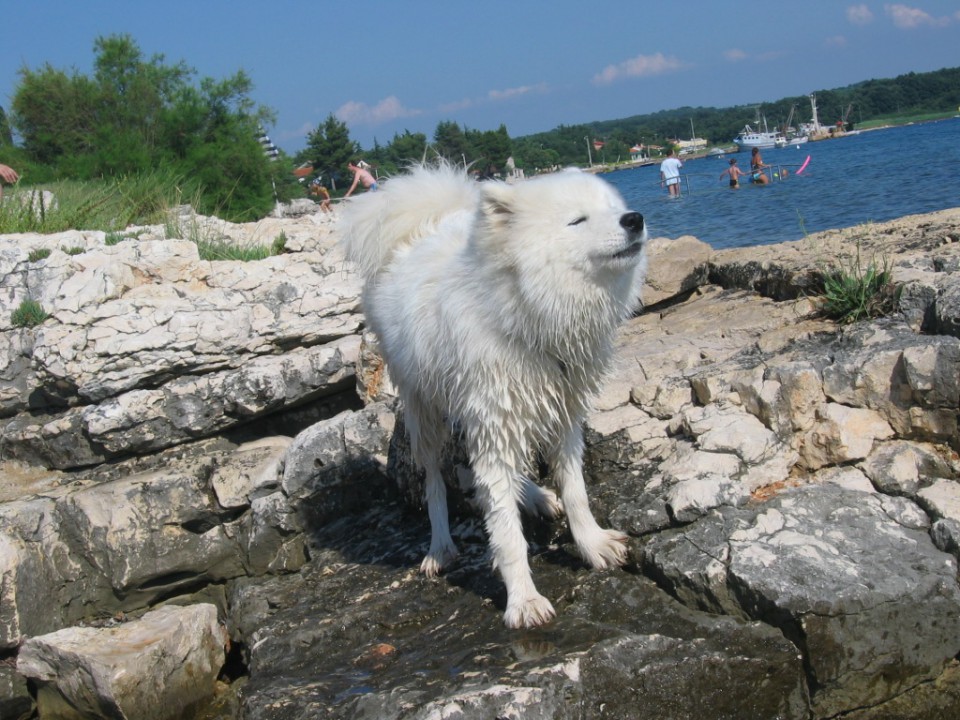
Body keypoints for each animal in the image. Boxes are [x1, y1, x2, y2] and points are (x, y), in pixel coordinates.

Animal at [342, 163, 648, 624]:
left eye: (613, 208)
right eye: (578, 220)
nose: (634, 219)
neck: (527, 314)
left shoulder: (562, 413)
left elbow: (576, 492)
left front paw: (592, 546)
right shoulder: (494, 419)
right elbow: (506, 531)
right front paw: (523, 600)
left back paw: (536, 496)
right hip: (423, 410)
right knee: (434, 480)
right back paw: (440, 547)